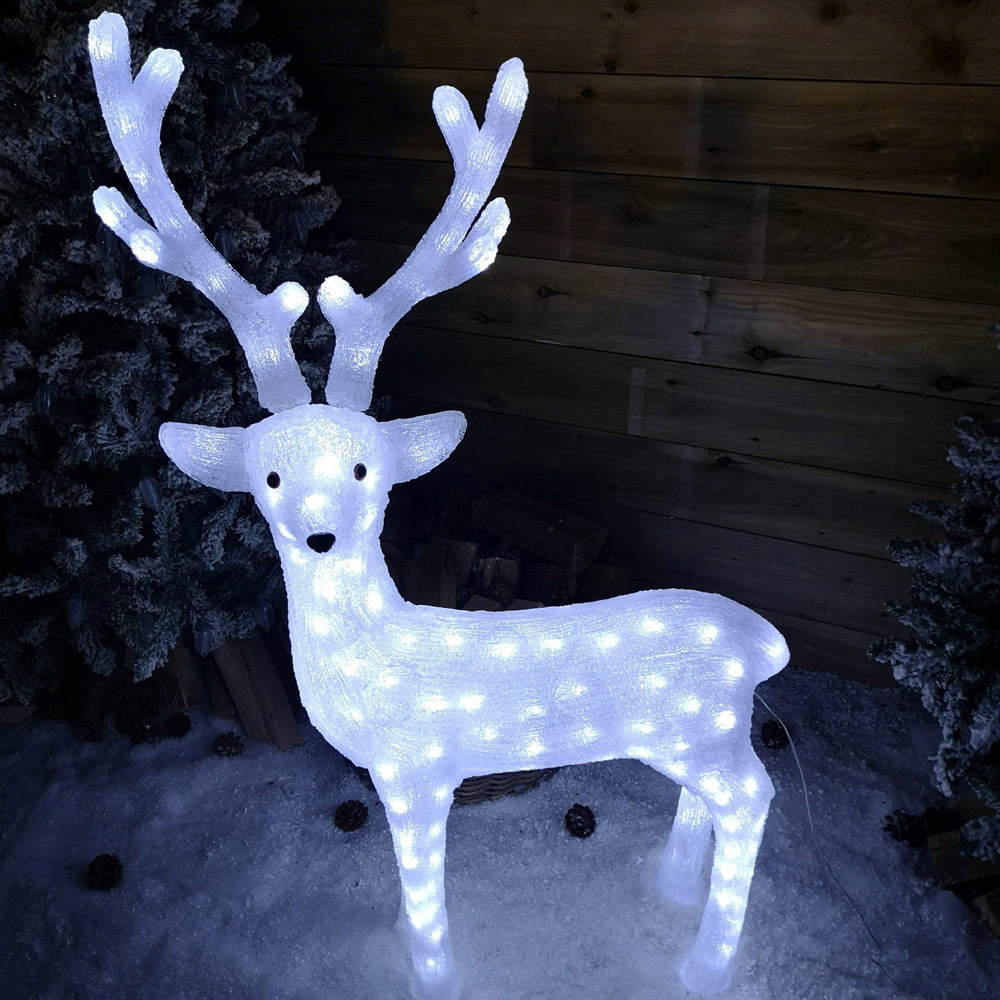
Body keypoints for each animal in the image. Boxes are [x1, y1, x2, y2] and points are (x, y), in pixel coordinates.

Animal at [88, 12, 789, 999]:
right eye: (270, 479)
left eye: (364, 470)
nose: (319, 535)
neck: (376, 661)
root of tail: (765, 644)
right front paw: (394, 938)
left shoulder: (418, 770)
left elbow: (423, 885)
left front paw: (432, 972)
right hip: (694, 735)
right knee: (717, 802)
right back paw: (670, 892)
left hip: (702, 730)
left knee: (757, 799)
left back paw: (702, 965)